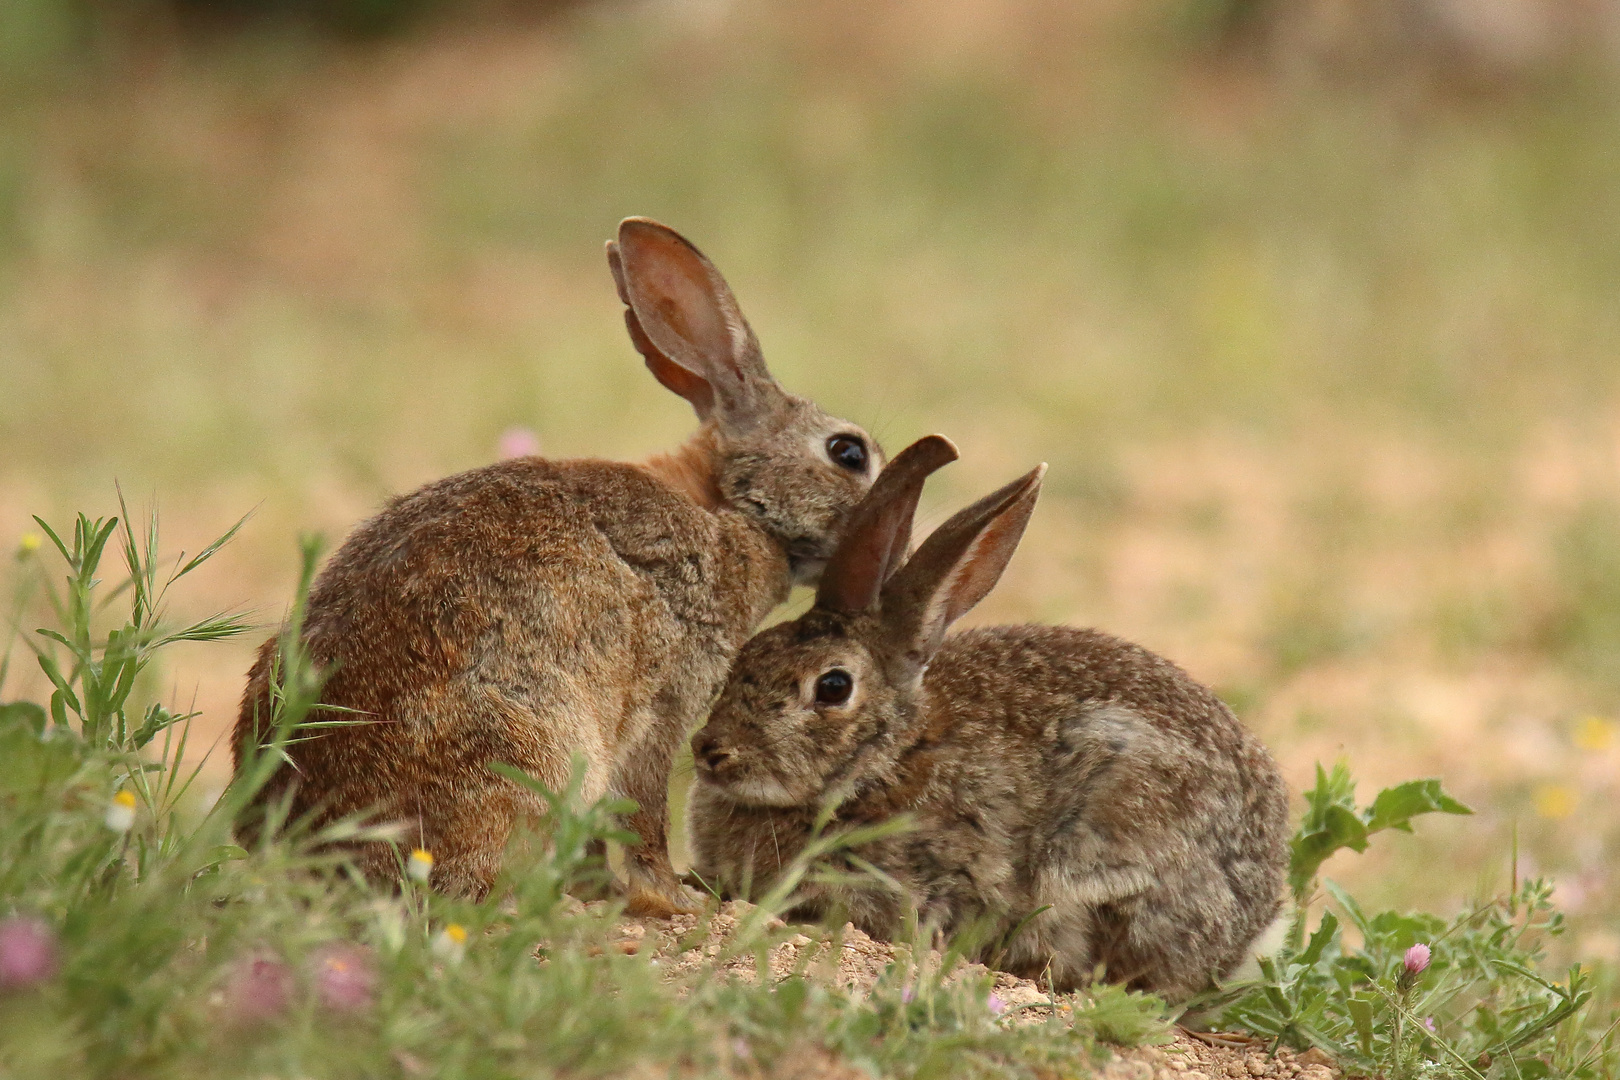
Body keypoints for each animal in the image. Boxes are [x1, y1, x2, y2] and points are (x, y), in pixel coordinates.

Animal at [236, 216, 887, 913]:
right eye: (848, 453)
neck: (728, 505)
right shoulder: (663, 703)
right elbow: (643, 812)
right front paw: (677, 901)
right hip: (533, 746)